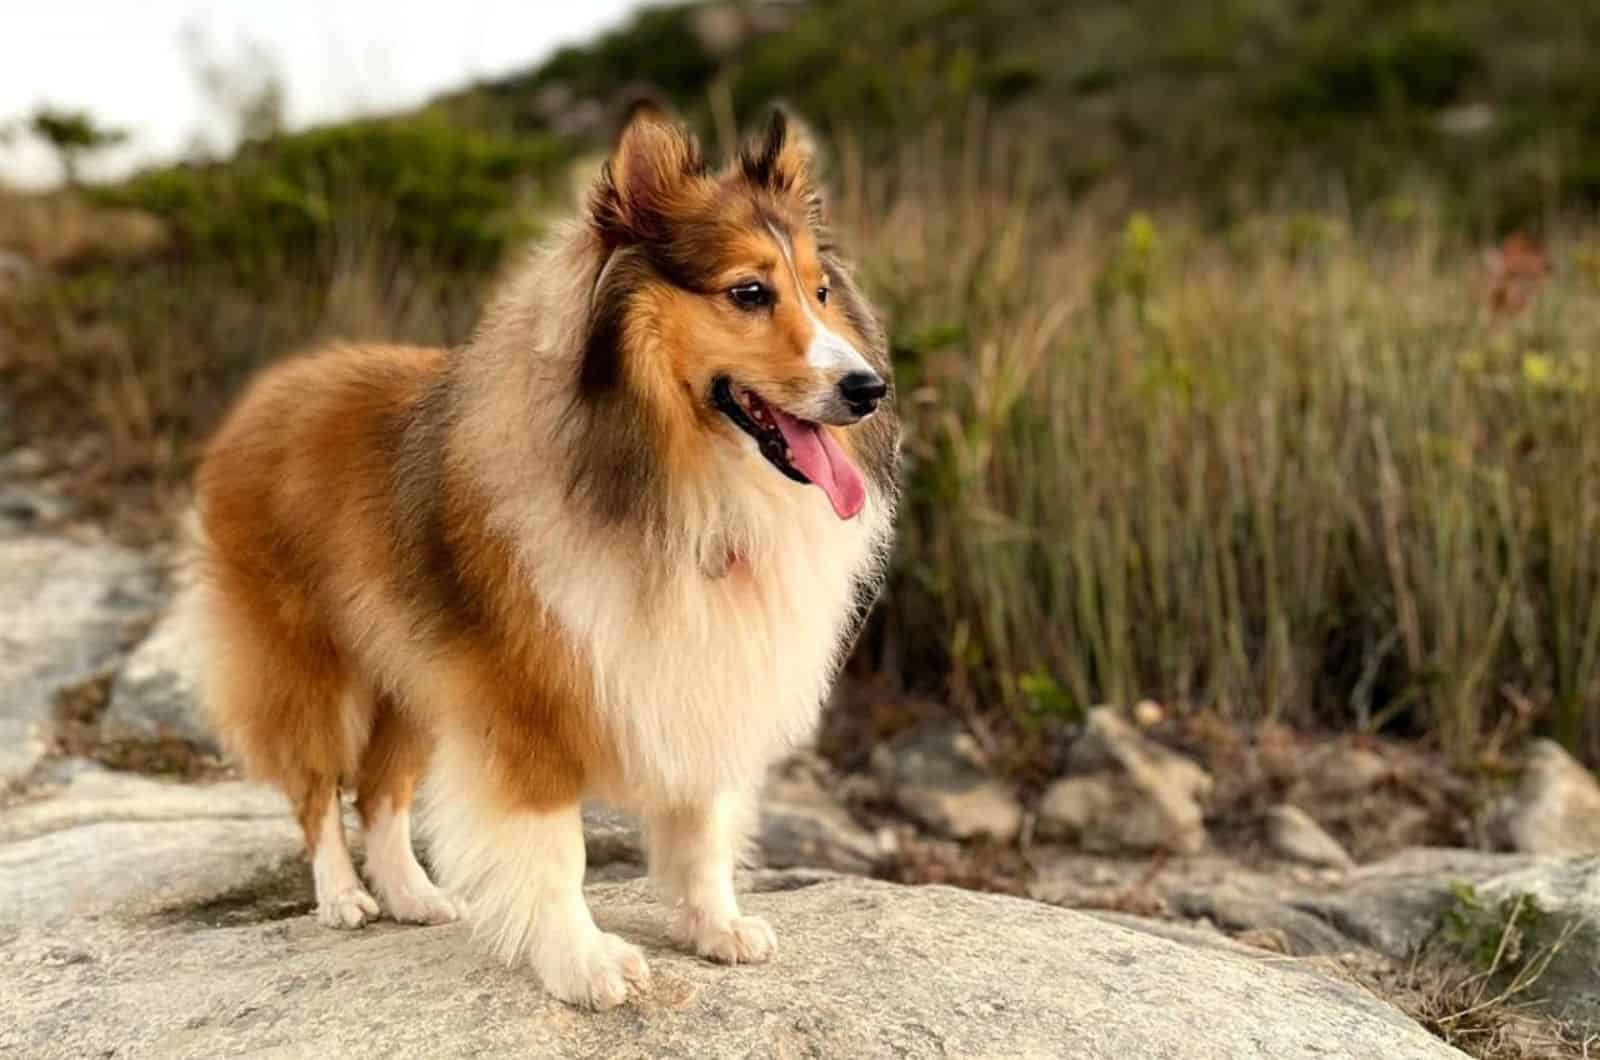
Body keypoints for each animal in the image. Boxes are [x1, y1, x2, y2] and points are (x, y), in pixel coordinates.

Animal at [180, 108, 902, 1011]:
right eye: (748, 293)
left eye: (821, 291)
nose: (870, 388)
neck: (673, 482)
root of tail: (261, 395)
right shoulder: (524, 701)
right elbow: (557, 853)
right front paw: (584, 964)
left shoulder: (702, 665)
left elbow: (701, 824)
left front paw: (717, 928)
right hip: (309, 666)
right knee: (316, 792)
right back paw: (343, 897)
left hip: (410, 672)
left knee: (381, 793)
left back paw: (414, 896)